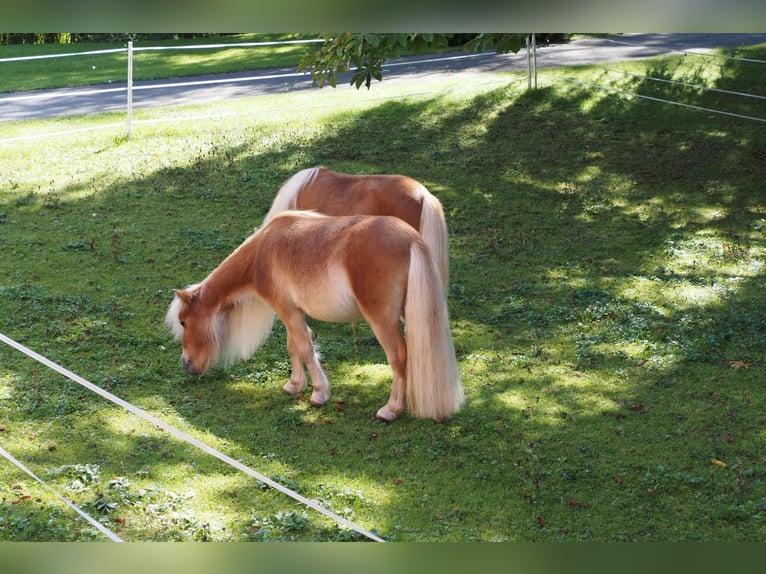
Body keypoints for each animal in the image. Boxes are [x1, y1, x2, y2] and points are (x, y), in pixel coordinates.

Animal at [166, 212, 462, 424]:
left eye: (184, 322)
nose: (186, 364)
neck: (262, 251)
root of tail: (412, 239)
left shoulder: (286, 309)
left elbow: (305, 348)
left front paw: (319, 394)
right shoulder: (291, 310)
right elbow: (294, 347)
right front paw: (295, 385)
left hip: (383, 321)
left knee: (399, 357)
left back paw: (390, 410)